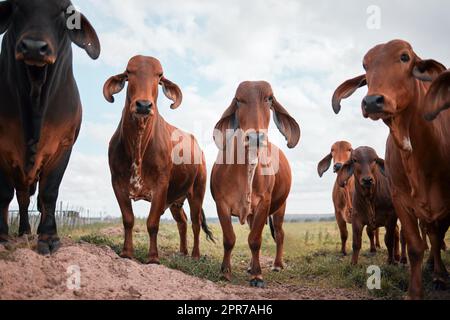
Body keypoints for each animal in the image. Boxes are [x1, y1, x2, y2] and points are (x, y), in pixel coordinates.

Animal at [0, 0, 99, 255]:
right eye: (16, 6)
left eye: (65, 12)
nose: (34, 47)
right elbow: (4, 194)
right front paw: (2, 235)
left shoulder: (63, 146)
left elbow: (49, 193)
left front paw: (48, 237)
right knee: (22, 199)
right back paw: (23, 231)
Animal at [103, 56, 214, 264]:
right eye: (129, 72)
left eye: (159, 75)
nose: (143, 105)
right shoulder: (117, 183)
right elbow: (128, 219)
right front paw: (127, 252)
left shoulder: (161, 186)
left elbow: (152, 223)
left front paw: (153, 257)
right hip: (176, 201)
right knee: (182, 222)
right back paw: (182, 252)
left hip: (197, 192)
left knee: (195, 223)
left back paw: (195, 255)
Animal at [210, 80, 300, 288]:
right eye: (238, 100)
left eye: (269, 98)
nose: (255, 138)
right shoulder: (221, 204)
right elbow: (229, 239)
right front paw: (225, 272)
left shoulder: (263, 205)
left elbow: (255, 240)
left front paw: (257, 276)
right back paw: (251, 265)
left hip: (280, 207)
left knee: (280, 234)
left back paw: (277, 264)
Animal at [332, 38, 448, 298]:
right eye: (365, 65)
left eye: (405, 57)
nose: (372, 101)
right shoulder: (400, 202)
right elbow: (414, 246)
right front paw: (414, 292)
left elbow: (414, 240)